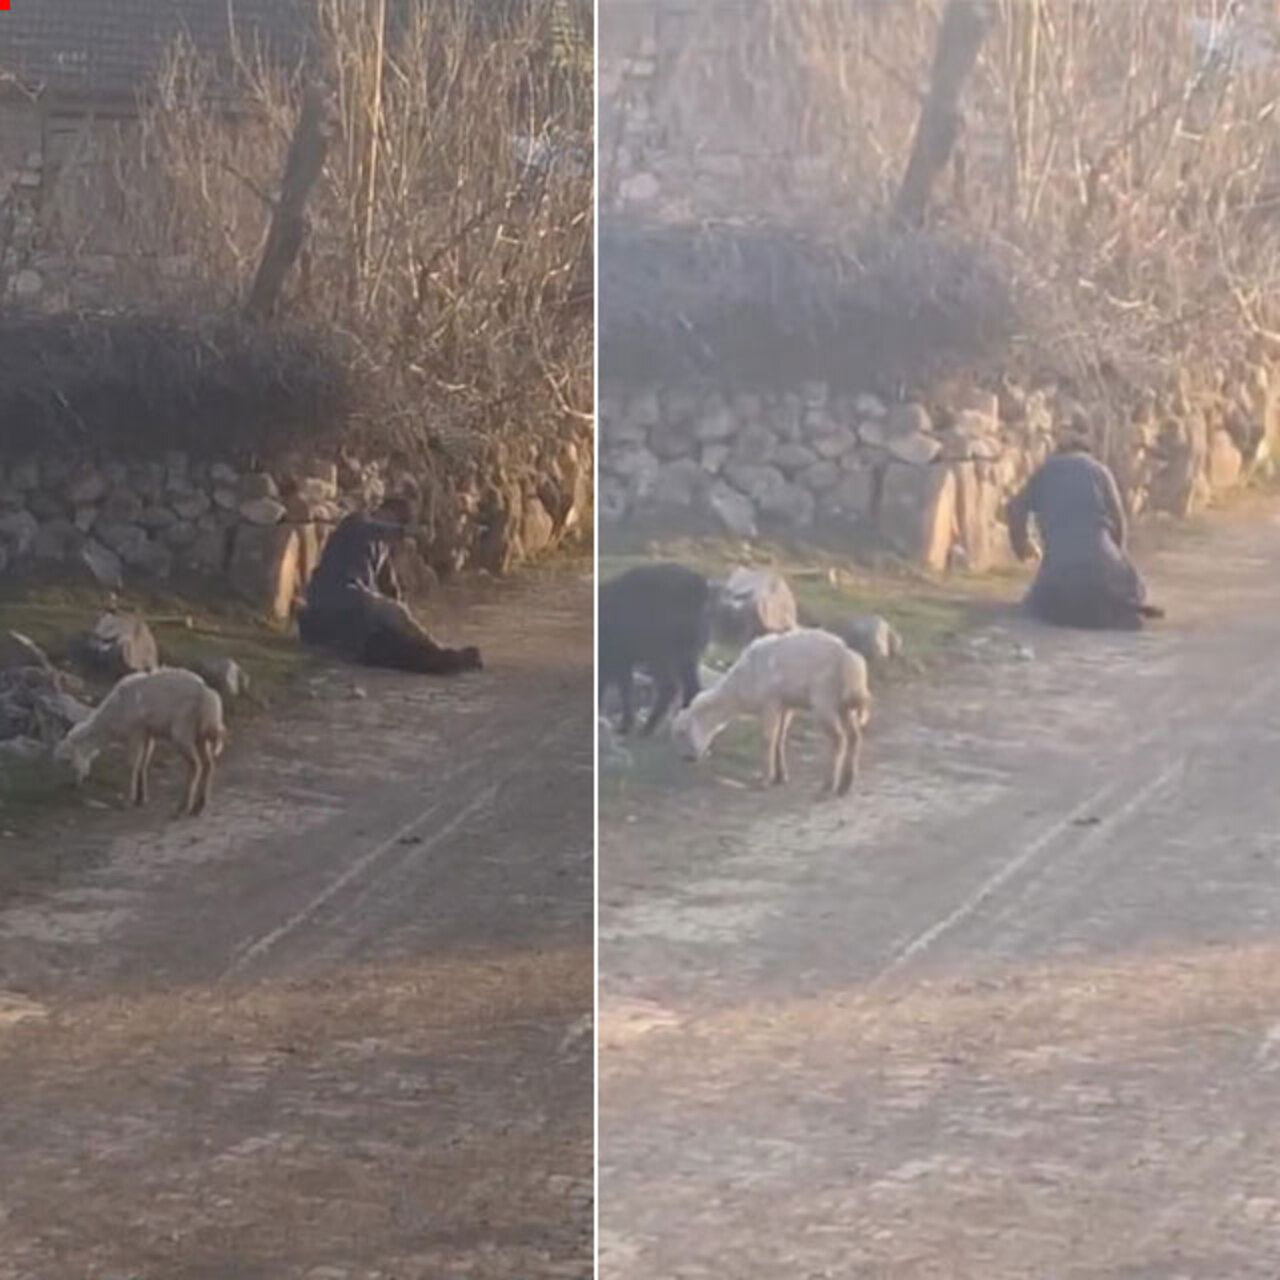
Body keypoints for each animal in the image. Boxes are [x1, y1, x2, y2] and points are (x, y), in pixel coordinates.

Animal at [53, 665, 227, 814]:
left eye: (67, 760)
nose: (73, 785)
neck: (111, 721)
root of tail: (207, 694)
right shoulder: (147, 734)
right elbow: (143, 763)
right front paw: (141, 798)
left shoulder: (135, 732)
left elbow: (132, 765)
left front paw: (128, 801)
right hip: (200, 736)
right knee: (208, 764)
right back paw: (199, 805)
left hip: (182, 730)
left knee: (195, 765)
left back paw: (183, 806)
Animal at [596, 565, 711, 737]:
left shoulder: (619, 659)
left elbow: (622, 689)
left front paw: (624, 725)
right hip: (687, 654)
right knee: (693, 688)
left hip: (661, 653)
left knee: (669, 687)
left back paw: (649, 728)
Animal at [670, 627, 870, 793]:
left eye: (683, 732)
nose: (687, 758)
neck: (738, 690)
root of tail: (849, 659)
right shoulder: (784, 705)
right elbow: (779, 739)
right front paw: (780, 776)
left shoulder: (770, 703)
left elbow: (767, 740)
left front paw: (765, 780)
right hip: (844, 706)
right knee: (854, 737)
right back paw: (846, 783)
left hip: (824, 700)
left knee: (839, 739)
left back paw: (829, 784)